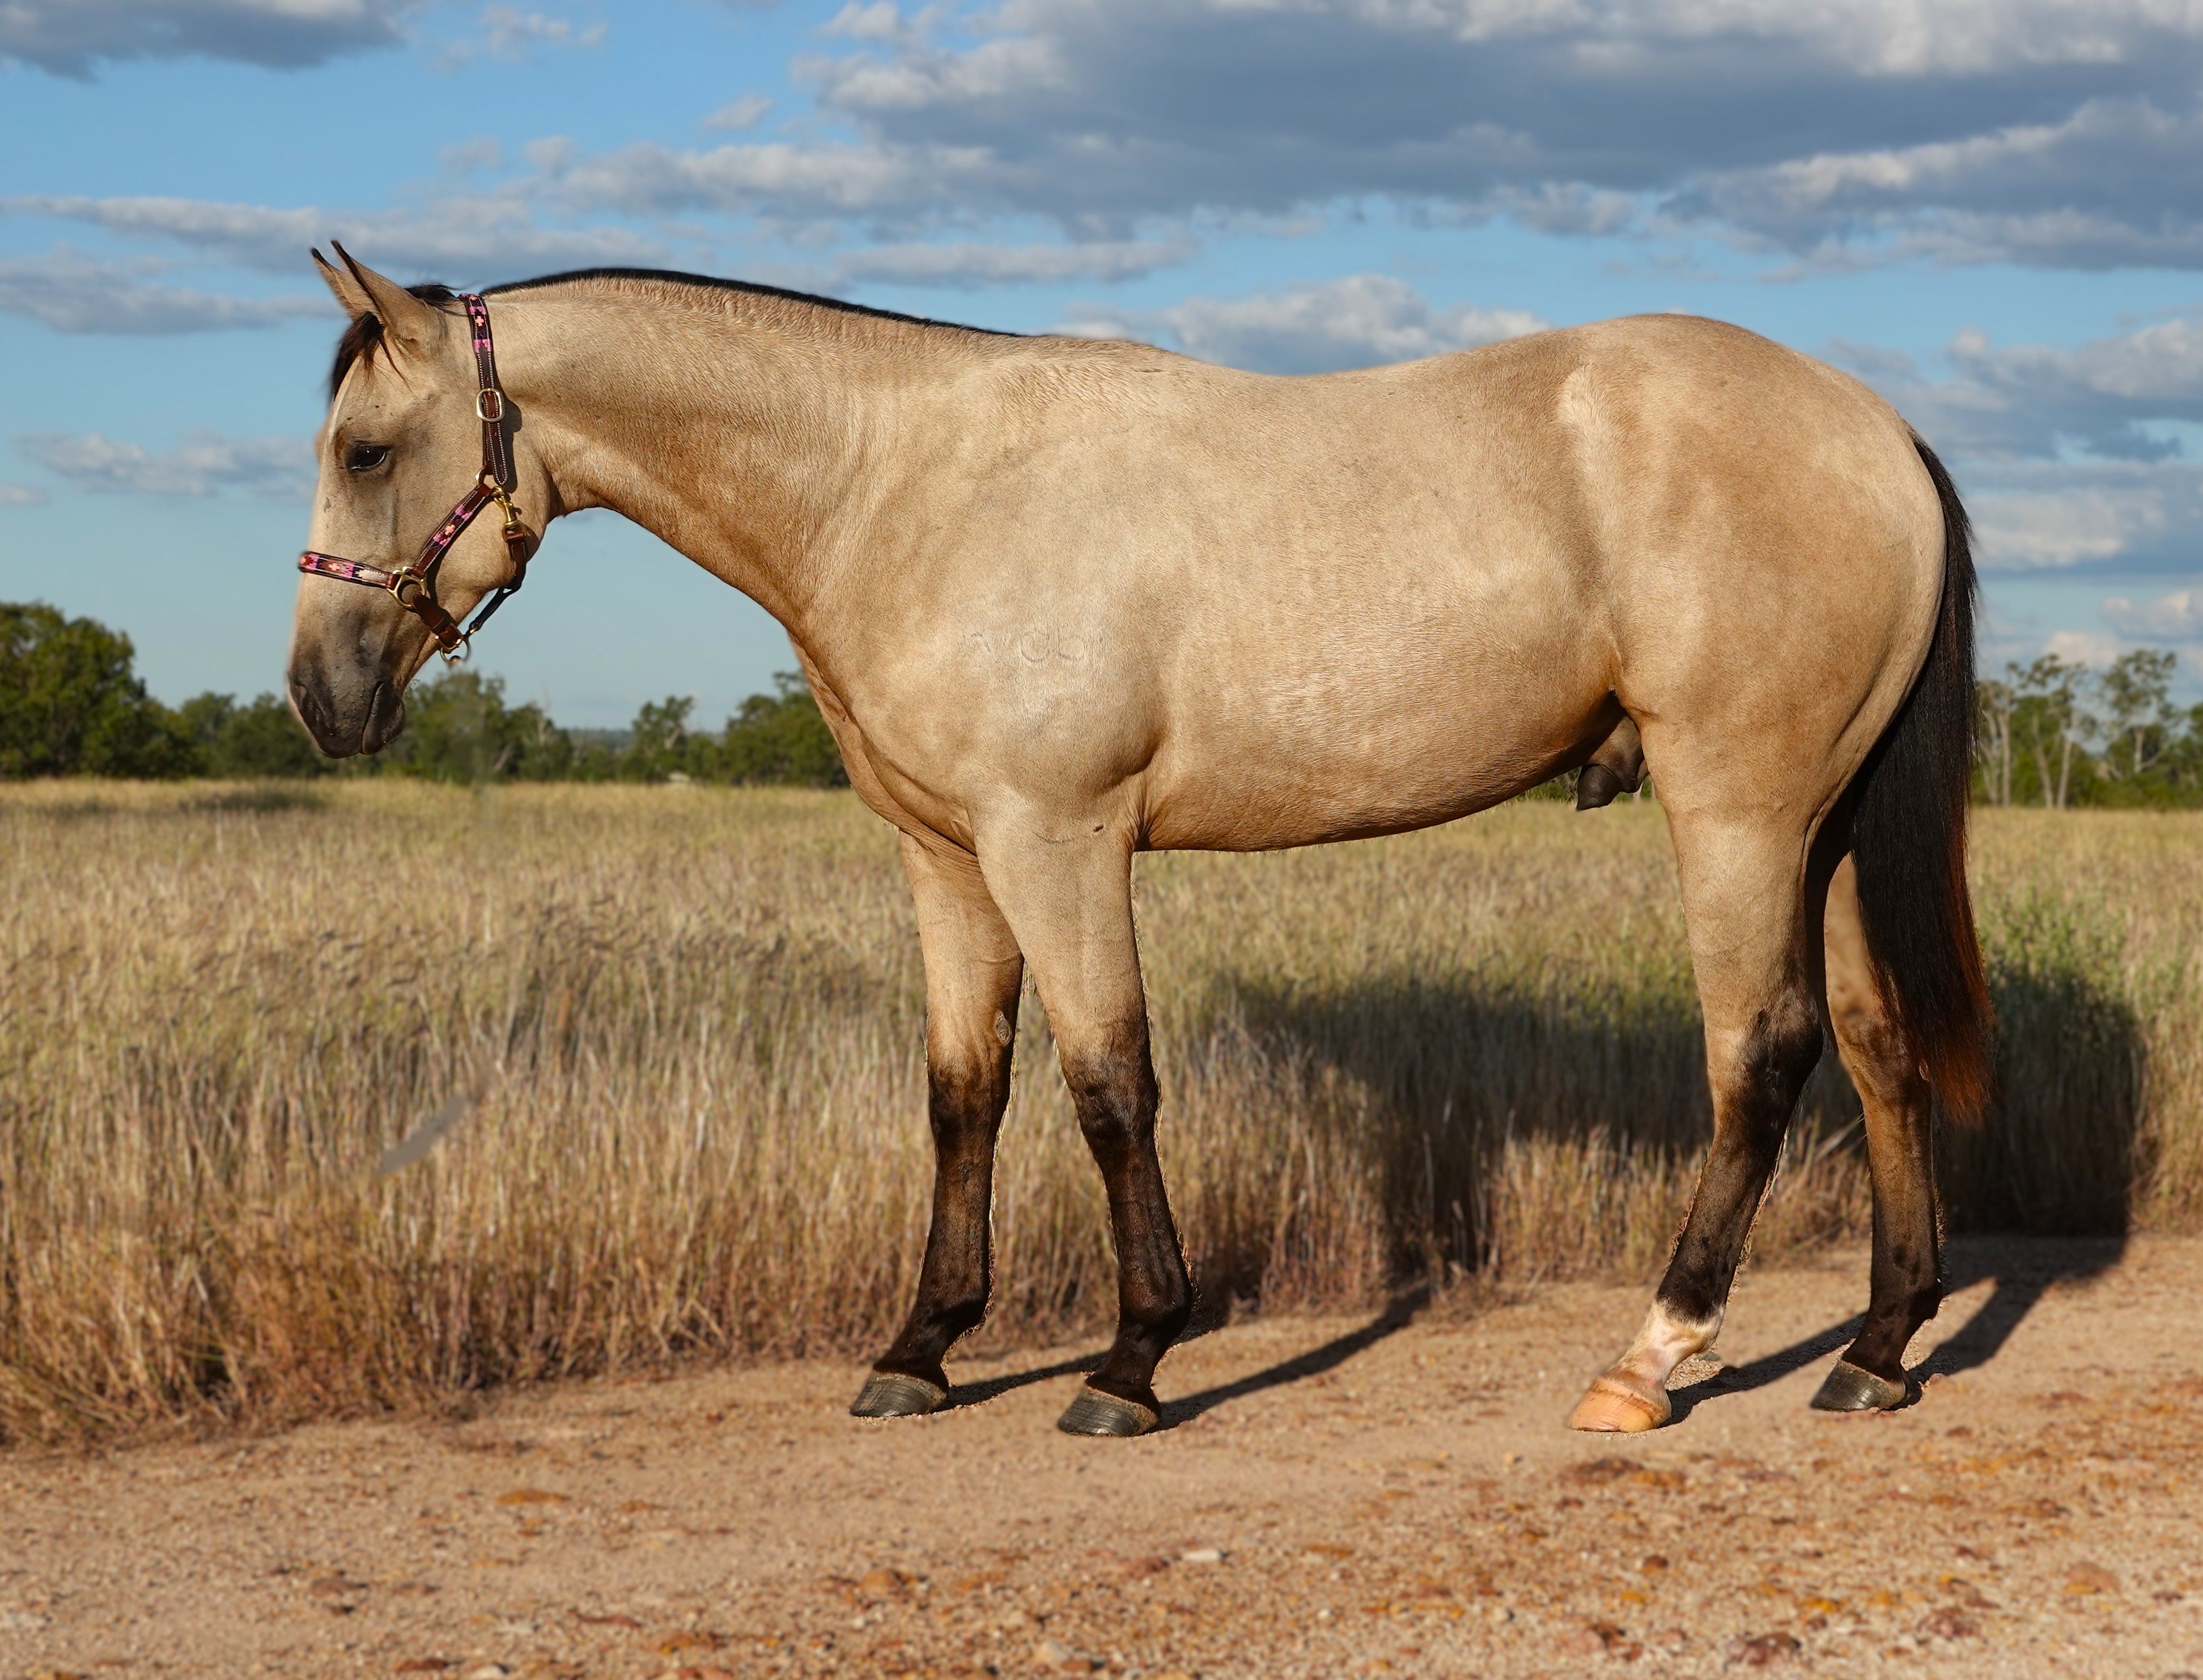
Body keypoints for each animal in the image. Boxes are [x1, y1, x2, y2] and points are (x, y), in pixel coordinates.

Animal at [289, 246, 1989, 1438]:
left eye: (366, 450)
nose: (320, 695)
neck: (901, 484)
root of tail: (1879, 429)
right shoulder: (947, 860)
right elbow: (962, 1095)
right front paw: (920, 1349)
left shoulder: (1059, 843)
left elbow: (1109, 1087)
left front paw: (1129, 1360)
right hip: (1825, 825)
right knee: (1873, 1042)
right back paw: (1874, 1348)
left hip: (1737, 810)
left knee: (1759, 1052)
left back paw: (1649, 1358)